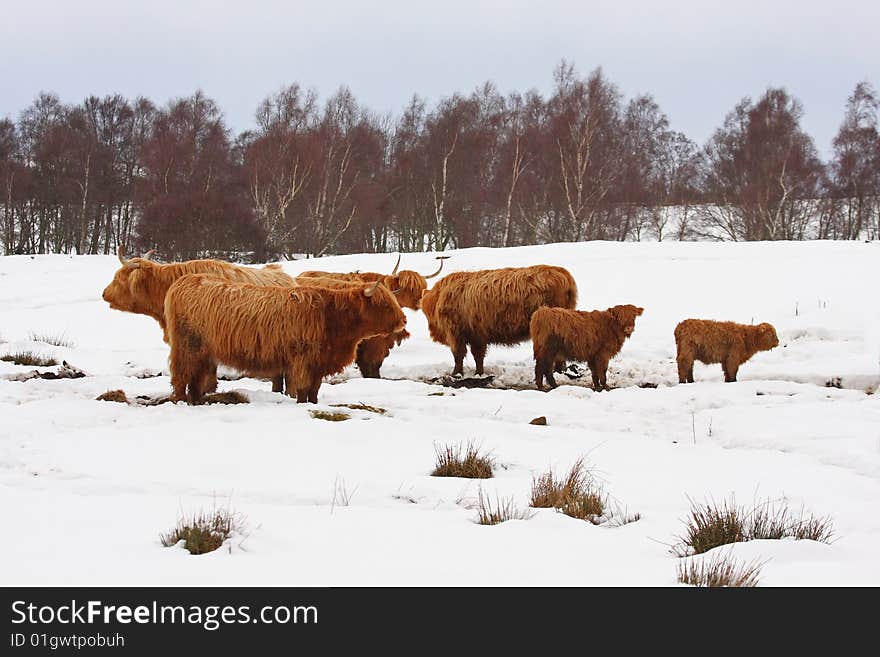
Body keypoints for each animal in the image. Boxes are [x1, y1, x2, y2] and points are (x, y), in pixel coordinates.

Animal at [164, 272, 406, 404]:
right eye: (385, 304)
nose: (404, 320)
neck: (331, 317)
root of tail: (184, 281)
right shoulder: (303, 361)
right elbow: (302, 389)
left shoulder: (318, 363)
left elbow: (315, 390)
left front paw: (313, 405)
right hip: (186, 347)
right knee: (181, 377)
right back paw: (181, 402)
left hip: (203, 353)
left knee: (195, 379)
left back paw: (197, 401)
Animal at [420, 262, 576, 374]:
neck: (438, 297)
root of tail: (561, 272)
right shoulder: (477, 334)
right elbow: (478, 356)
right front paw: (479, 373)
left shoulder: (455, 332)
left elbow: (458, 354)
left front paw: (456, 374)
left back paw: (556, 371)